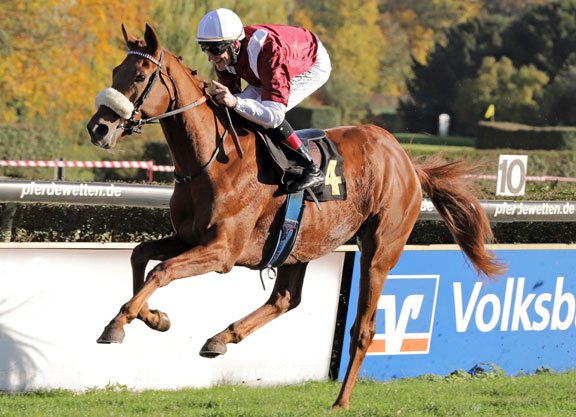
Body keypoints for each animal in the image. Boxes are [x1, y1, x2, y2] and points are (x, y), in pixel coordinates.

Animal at [86, 24, 505, 410]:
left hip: (380, 250)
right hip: (297, 244)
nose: (98, 127)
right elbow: (141, 255)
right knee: (285, 299)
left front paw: (117, 324)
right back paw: (221, 338)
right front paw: (153, 317)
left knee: (364, 328)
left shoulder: (222, 251)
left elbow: (162, 270)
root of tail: (407, 162)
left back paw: (341, 401)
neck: (213, 160)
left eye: (140, 76)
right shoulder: (190, 237)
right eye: (116, 72)